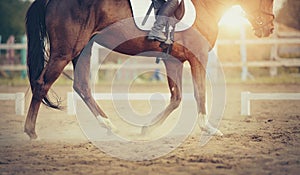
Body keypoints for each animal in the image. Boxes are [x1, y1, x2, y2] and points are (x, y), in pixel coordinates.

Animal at [24, 0, 276, 139]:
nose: (269, 29)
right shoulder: (198, 57)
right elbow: (200, 93)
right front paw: (208, 128)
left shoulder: (174, 60)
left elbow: (176, 98)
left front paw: (147, 129)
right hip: (64, 51)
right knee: (42, 83)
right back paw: (31, 131)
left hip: (82, 49)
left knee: (82, 86)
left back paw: (108, 125)